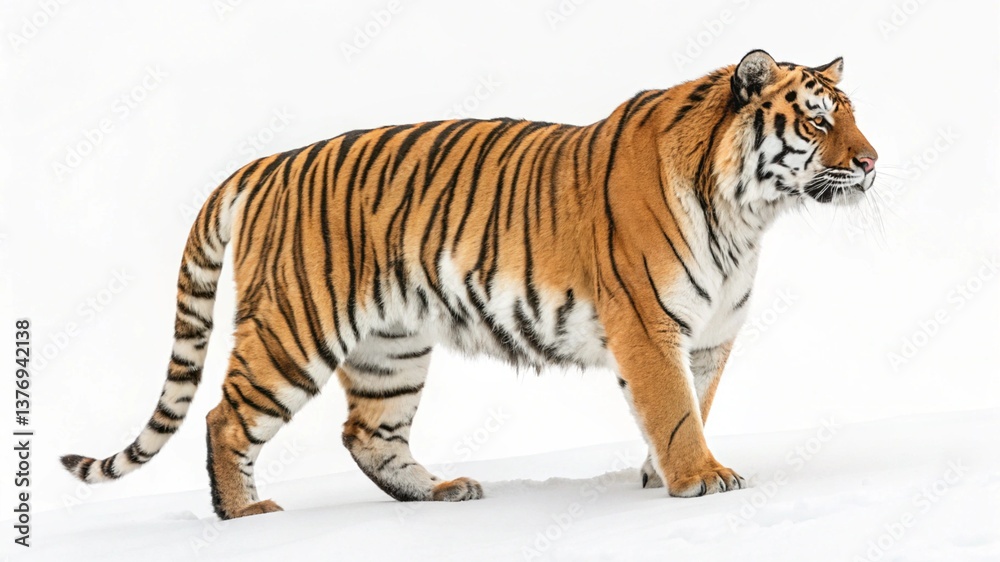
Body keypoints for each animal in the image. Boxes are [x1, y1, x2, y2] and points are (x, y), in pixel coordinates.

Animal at [61, 50, 877, 519]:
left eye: (851, 116)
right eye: (816, 122)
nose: (871, 162)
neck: (748, 214)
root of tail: (265, 164)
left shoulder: (709, 337)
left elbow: (692, 404)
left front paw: (662, 473)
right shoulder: (650, 327)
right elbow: (674, 409)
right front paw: (700, 480)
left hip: (390, 346)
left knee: (368, 433)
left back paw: (441, 493)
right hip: (296, 328)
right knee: (224, 417)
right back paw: (246, 515)